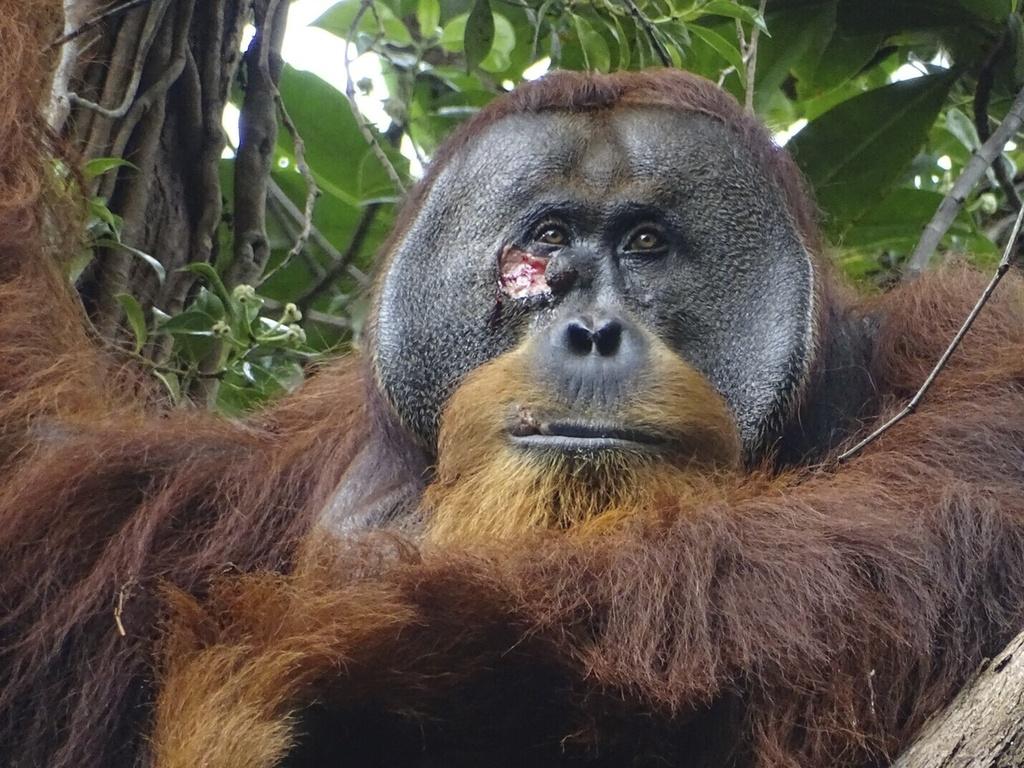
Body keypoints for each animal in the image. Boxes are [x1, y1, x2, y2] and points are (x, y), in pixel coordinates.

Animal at [2, 6, 1024, 766]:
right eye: (547, 241)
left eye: (645, 243)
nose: (592, 331)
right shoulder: (221, 488)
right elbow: (42, 463)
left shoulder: (963, 346)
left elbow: (910, 530)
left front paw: (331, 666)